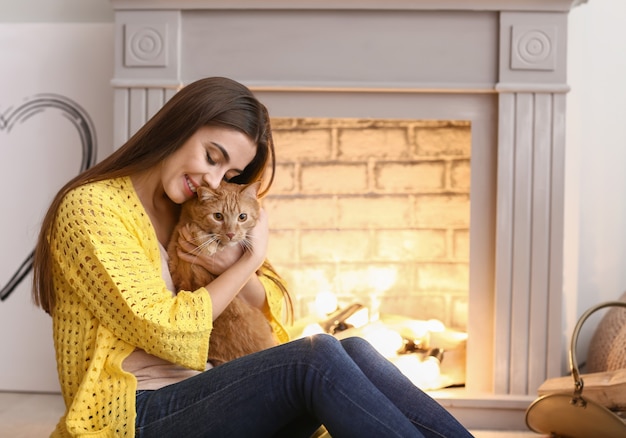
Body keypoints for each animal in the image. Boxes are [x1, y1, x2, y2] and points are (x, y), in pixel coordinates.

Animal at [168, 180, 280, 364]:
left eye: (242, 217)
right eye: (218, 216)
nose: (231, 234)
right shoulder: (176, 246)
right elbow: (192, 227)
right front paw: (207, 243)